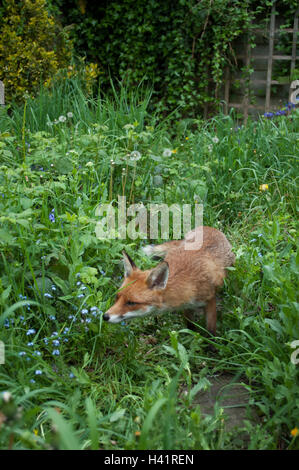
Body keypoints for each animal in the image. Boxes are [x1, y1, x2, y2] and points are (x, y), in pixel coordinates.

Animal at [103, 227, 237, 334]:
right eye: (117, 297)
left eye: (131, 303)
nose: (105, 316)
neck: (188, 282)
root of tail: (208, 227)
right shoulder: (186, 306)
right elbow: (190, 325)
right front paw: (191, 336)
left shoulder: (210, 299)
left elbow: (211, 330)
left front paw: (210, 347)